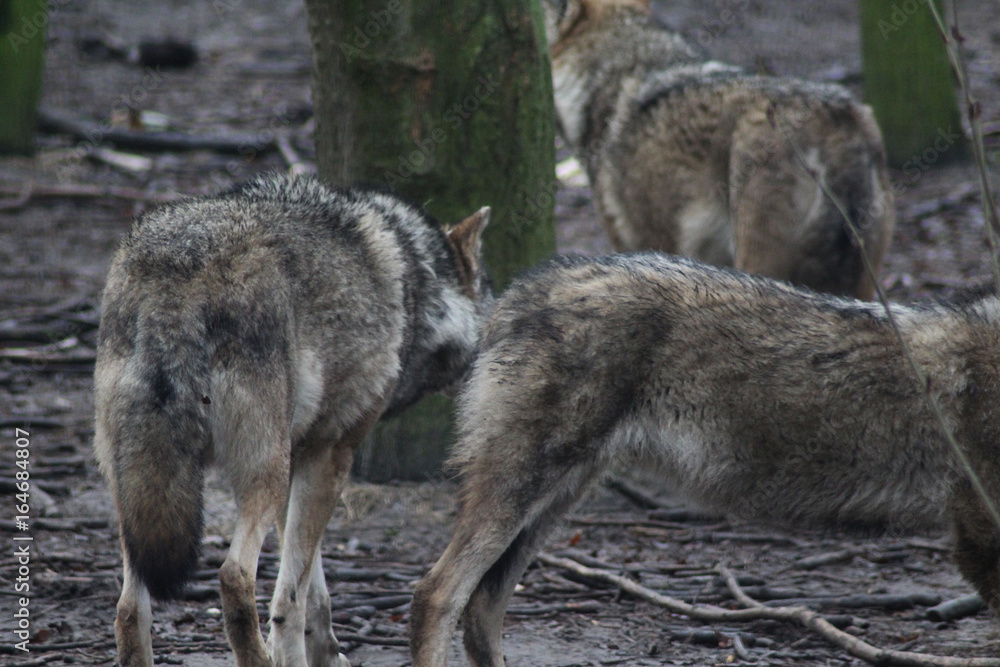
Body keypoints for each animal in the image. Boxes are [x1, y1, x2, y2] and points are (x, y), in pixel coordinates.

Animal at [93, 173, 491, 667]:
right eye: (488, 290)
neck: (413, 285)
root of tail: (177, 278)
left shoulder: (303, 458)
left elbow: (311, 583)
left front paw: (327, 653)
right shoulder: (333, 453)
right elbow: (293, 597)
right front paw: (300, 654)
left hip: (135, 492)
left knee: (129, 608)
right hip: (264, 473)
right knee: (234, 577)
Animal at [409, 252, 1000, 666]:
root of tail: (524, 289)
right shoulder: (979, 537)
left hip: (556, 502)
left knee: (482, 609)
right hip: (526, 491)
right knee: (436, 593)